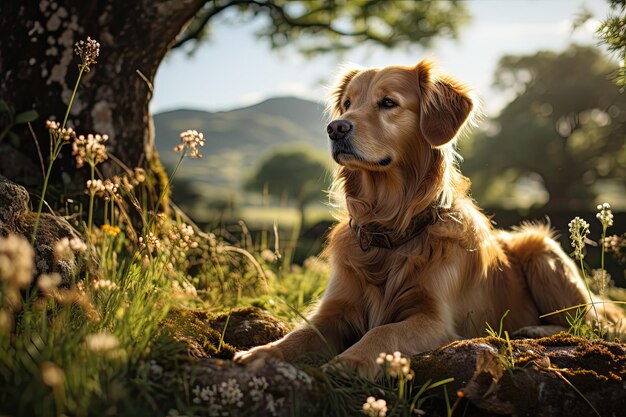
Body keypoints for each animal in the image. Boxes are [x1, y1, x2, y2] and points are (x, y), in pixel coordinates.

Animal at [233, 60, 620, 378]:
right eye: (348, 104)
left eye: (388, 103)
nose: (335, 128)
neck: (390, 230)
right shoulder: (335, 308)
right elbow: (301, 333)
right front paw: (262, 352)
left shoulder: (436, 320)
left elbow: (383, 331)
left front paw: (350, 360)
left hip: (540, 249)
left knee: (589, 325)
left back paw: (532, 330)